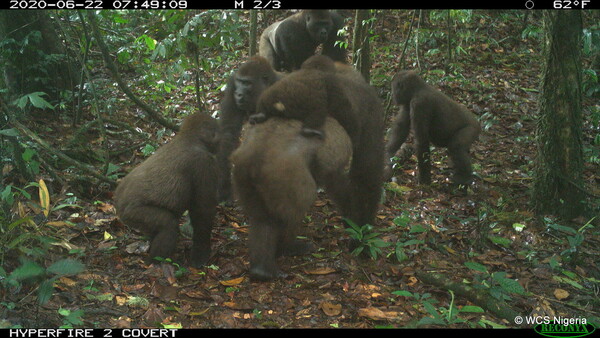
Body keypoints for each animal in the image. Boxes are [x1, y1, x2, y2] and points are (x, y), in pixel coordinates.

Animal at [113, 113, 219, 266]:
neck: (187, 137)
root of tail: (116, 203)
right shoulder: (203, 163)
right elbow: (203, 212)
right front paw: (201, 254)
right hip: (132, 213)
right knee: (168, 225)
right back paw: (156, 262)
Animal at [217, 56, 282, 203]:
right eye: (239, 82)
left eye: (247, 83)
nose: (238, 94)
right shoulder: (231, 84)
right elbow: (228, 132)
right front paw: (224, 186)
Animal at [230, 116, 352, 280]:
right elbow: (335, 179)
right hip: (284, 180)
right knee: (293, 214)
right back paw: (288, 248)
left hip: (242, 174)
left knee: (263, 219)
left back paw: (262, 270)